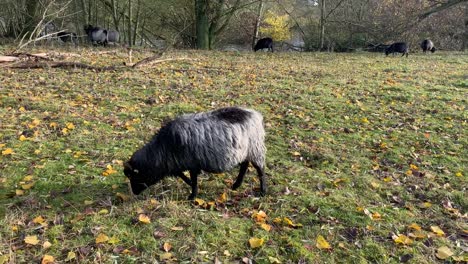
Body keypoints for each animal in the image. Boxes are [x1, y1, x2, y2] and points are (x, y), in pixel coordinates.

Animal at [122, 106, 266, 199]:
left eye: (134, 176)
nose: (134, 193)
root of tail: (255, 115)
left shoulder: (192, 163)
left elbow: (193, 179)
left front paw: (192, 196)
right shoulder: (179, 163)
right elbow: (182, 175)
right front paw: (191, 187)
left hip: (255, 149)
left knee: (260, 170)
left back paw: (263, 191)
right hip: (244, 151)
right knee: (244, 165)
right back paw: (236, 185)